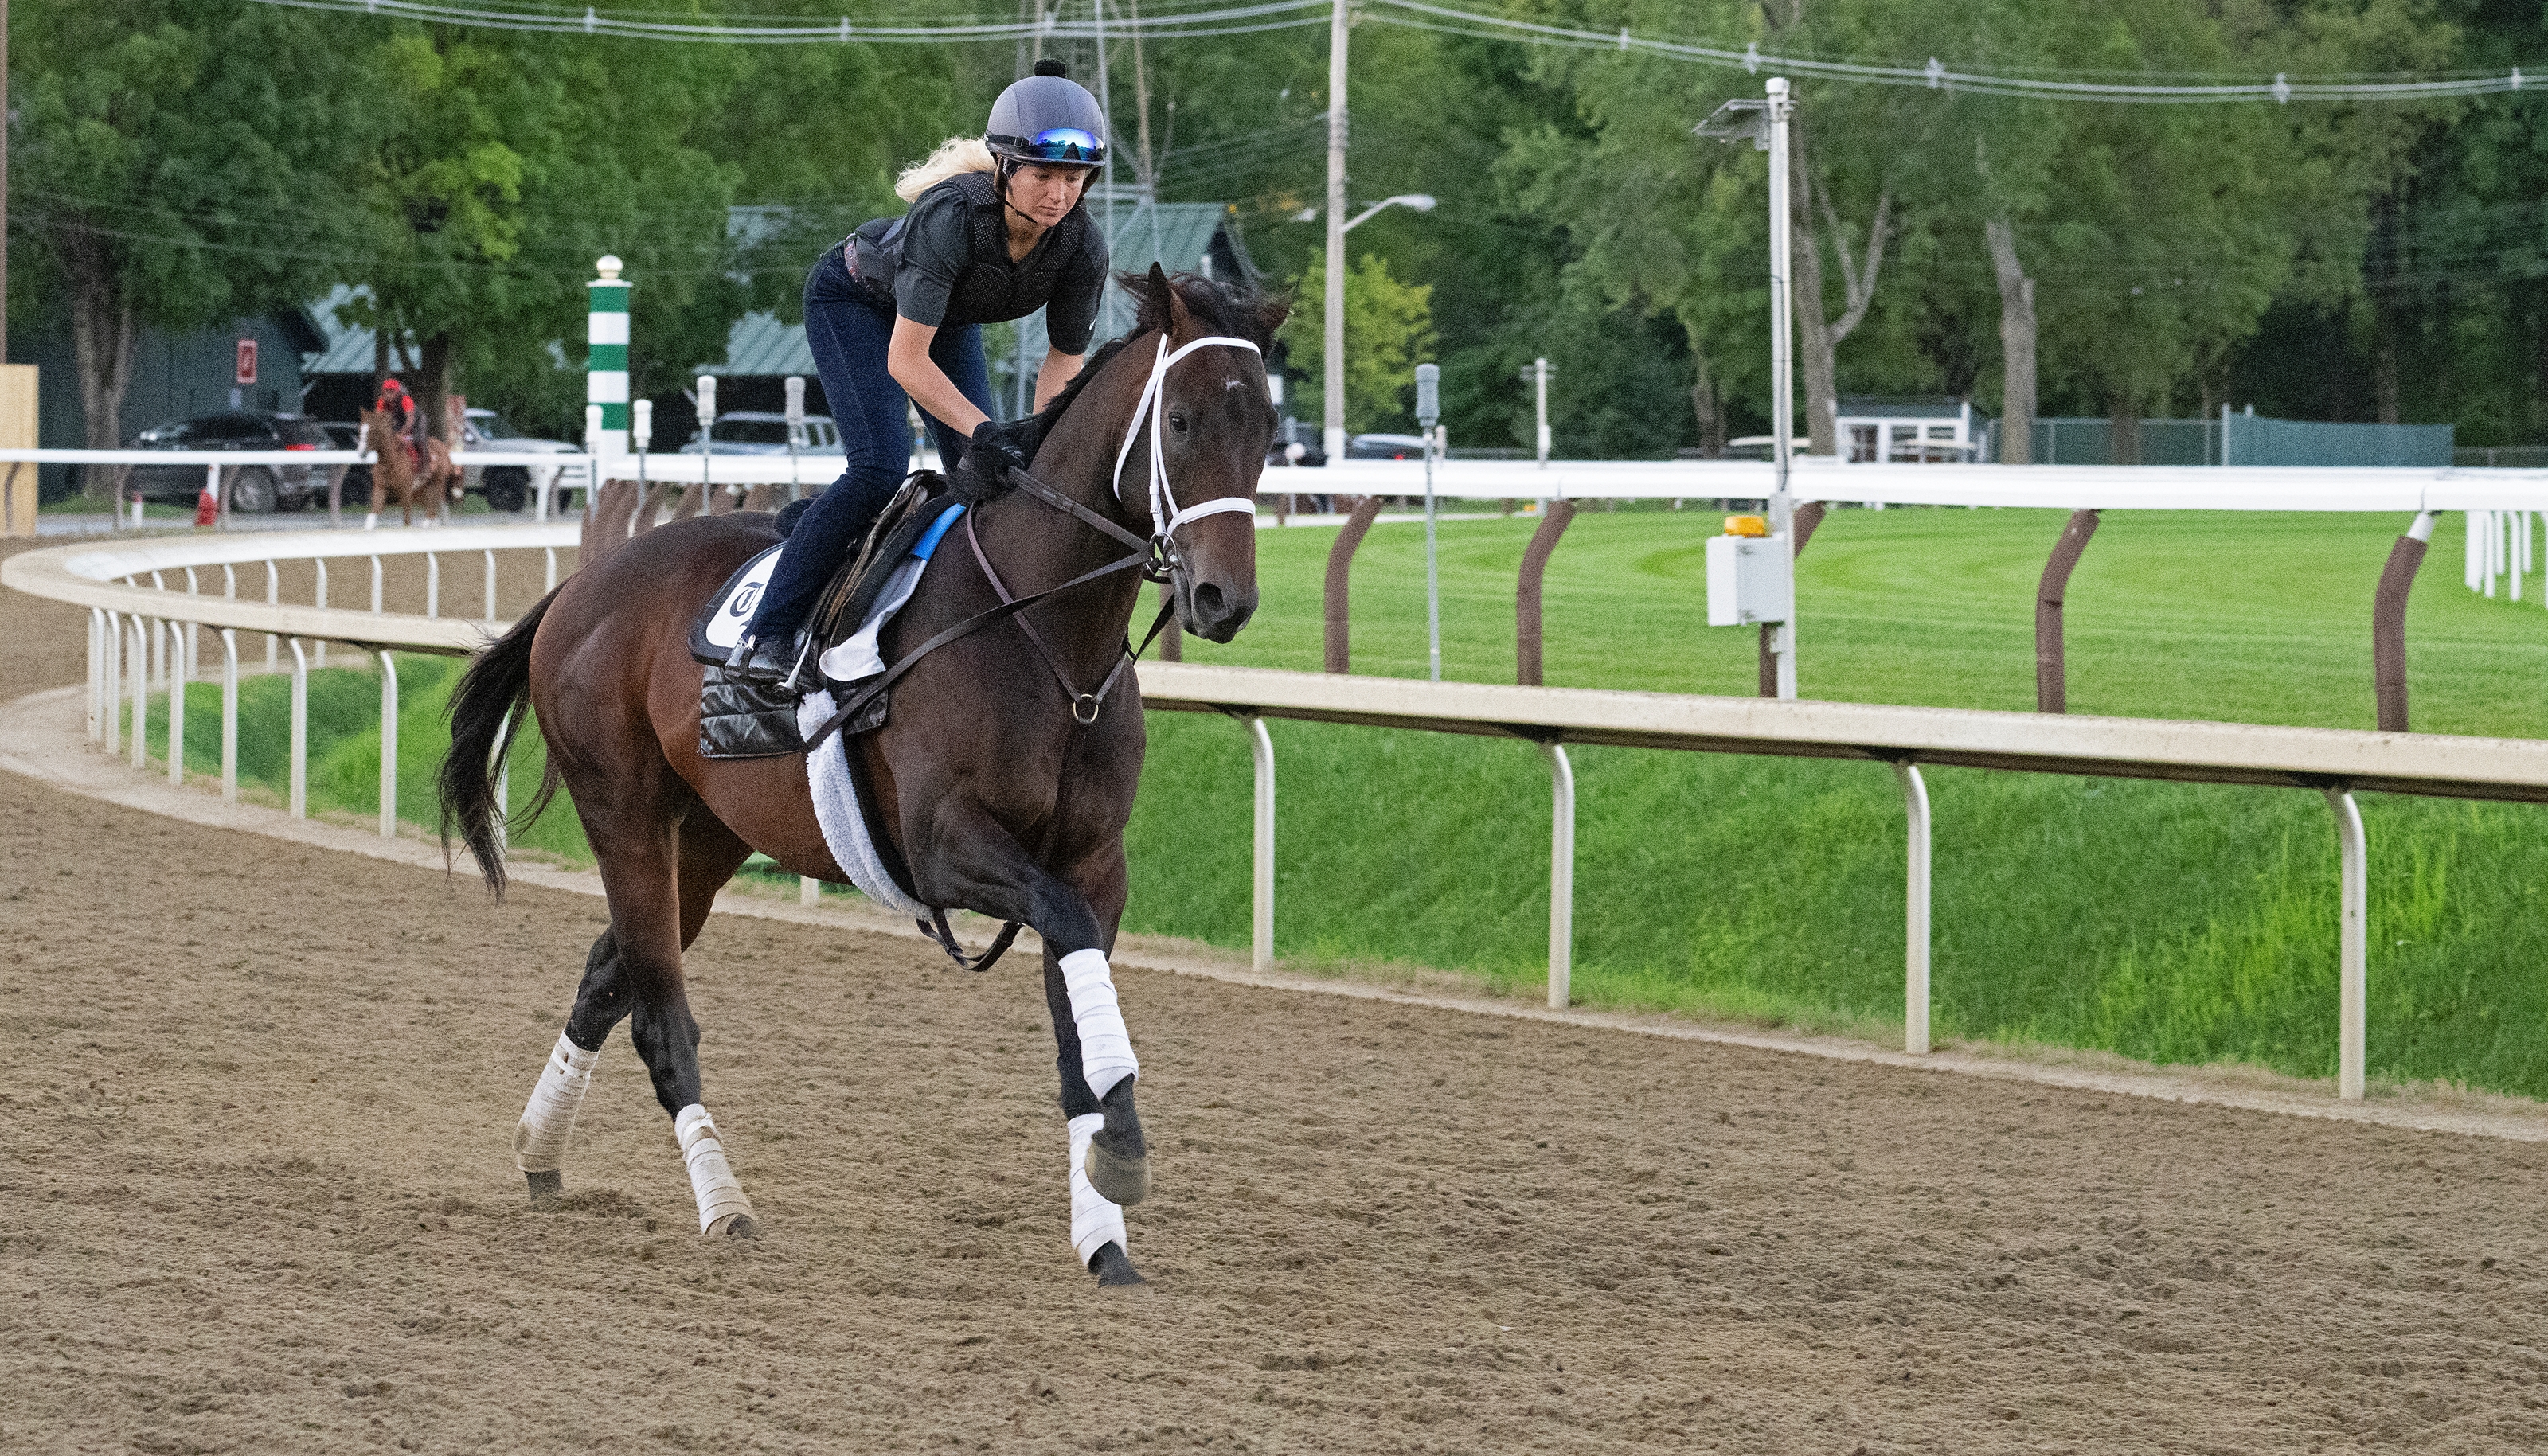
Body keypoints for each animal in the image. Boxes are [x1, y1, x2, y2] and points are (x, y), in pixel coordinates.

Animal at [443, 272, 1294, 1282]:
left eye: (1267, 427)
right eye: (1182, 420)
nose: (1223, 599)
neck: (1045, 638)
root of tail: (580, 588)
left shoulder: (1093, 864)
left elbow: (1077, 1035)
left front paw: (1105, 1233)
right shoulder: (942, 846)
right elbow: (1064, 946)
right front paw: (1122, 1153)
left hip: (709, 838)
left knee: (606, 975)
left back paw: (539, 1152)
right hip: (624, 816)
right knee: (658, 1015)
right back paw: (724, 1205)